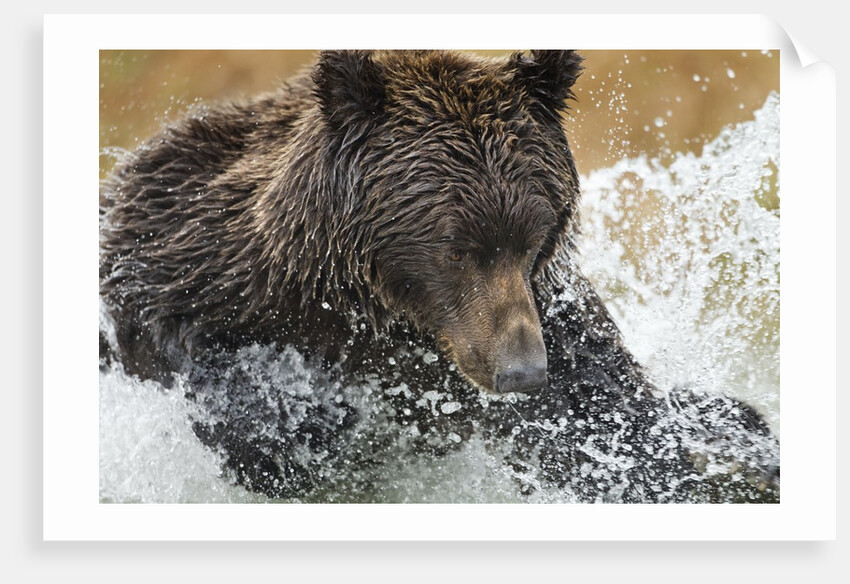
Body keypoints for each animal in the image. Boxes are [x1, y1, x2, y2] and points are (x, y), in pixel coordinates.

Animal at [99, 50, 779, 502]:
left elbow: (609, 422)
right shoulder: (185, 251)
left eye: (532, 238)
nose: (522, 372)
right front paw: (302, 423)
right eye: (456, 248)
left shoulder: (547, 316)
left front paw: (731, 448)